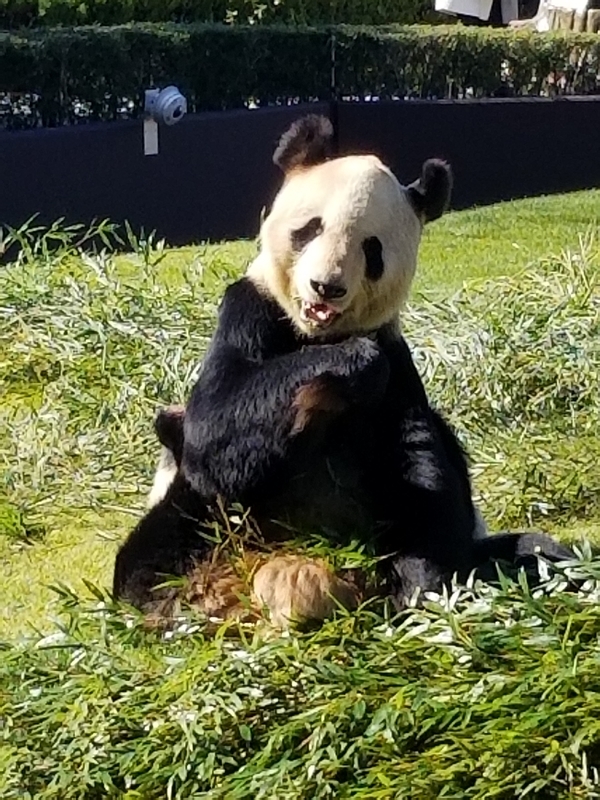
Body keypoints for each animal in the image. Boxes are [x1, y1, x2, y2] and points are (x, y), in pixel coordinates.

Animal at [113, 114, 574, 628]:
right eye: (310, 229)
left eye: (371, 249)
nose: (325, 287)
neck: (314, 335)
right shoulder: (251, 311)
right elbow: (215, 424)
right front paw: (350, 366)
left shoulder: (397, 363)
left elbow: (418, 463)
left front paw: (418, 589)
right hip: (198, 532)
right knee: (158, 554)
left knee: (536, 555)